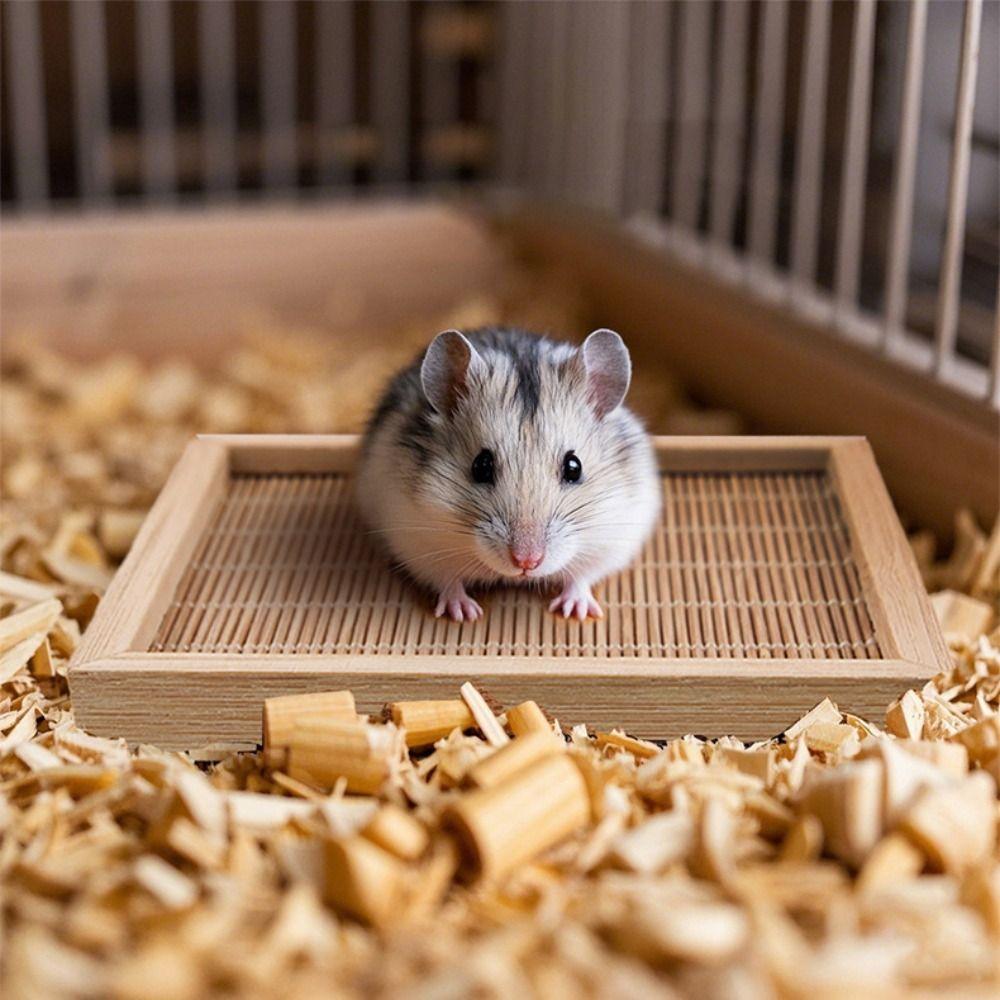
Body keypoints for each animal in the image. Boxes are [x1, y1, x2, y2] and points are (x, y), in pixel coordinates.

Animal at [356, 327, 661, 622]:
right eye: (481, 466)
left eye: (574, 467)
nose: (526, 562)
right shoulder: (418, 543)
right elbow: (447, 579)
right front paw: (464, 614)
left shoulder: (611, 541)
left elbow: (582, 576)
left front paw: (574, 610)